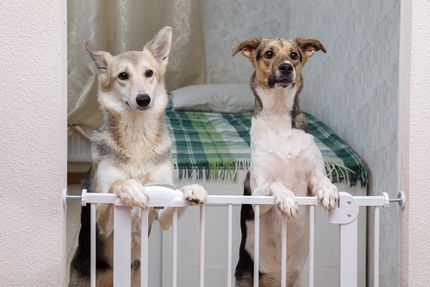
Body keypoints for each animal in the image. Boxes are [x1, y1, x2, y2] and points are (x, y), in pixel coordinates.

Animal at [69, 25, 207, 286]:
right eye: (123, 76)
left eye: (149, 73)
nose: (144, 99)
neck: (138, 139)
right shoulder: (102, 220)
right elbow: (117, 183)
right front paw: (131, 188)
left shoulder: (163, 213)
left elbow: (176, 199)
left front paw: (193, 189)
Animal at [232, 38, 340, 287]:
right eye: (268, 54)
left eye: (294, 55)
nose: (286, 68)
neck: (279, 114)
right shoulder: (257, 194)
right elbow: (276, 184)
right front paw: (288, 199)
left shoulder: (312, 175)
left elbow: (321, 179)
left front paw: (329, 190)